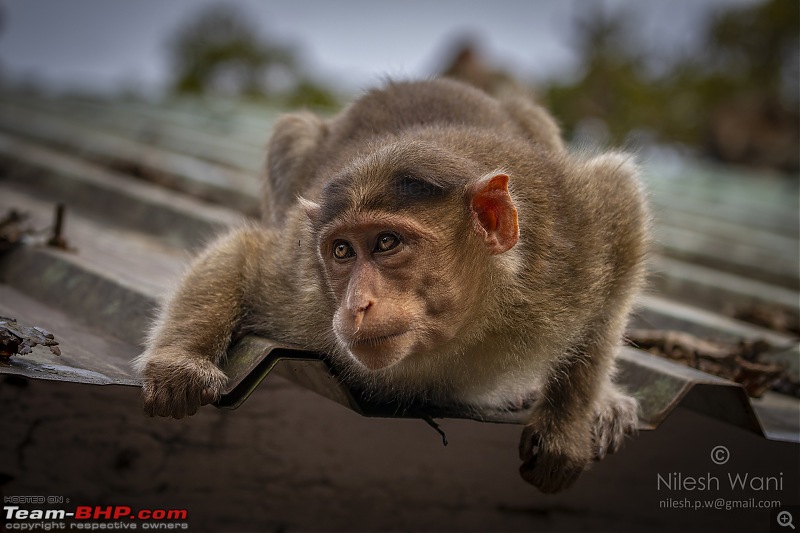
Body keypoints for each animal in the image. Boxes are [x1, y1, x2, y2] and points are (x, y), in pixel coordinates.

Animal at [134, 77, 648, 492]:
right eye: (342, 251)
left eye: (386, 242)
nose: (355, 305)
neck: (468, 326)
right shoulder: (303, 289)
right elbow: (246, 253)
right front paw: (181, 364)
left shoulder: (567, 245)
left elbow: (620, 201)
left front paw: (568, 424)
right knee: (291, 132)